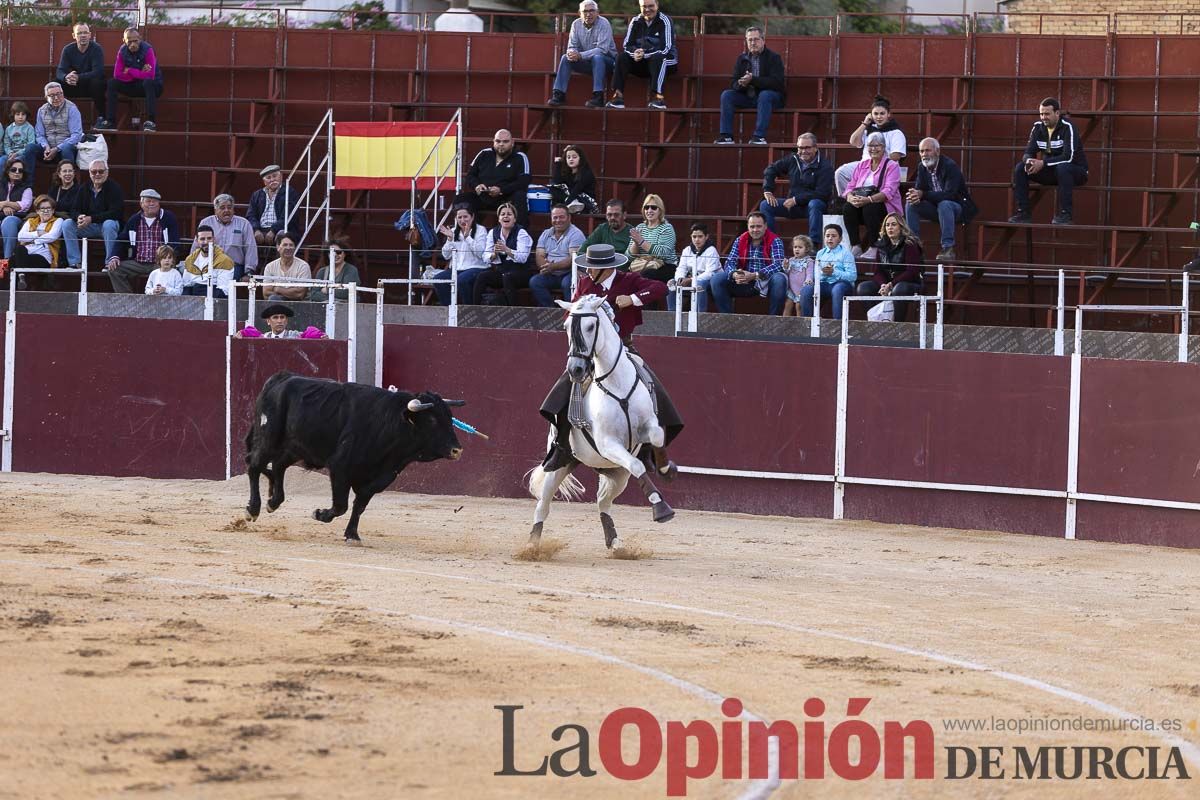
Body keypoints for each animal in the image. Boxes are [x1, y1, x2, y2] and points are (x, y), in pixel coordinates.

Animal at [243, 371, 463, 542]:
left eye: (450, 418)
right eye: (432, 419)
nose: (457, 450)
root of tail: (280, 378)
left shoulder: (382, 477)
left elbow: (359, 505)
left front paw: (352, 535)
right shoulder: (340, 467)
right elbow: (341, 505)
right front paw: (319, 514)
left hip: (294, 447)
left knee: (278, 465)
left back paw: (273, 502)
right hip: (269, 438)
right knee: (254, 465)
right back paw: (253, 509)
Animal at [525, 292, 676, 551]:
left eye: (590, 326)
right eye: (566, 326)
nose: (575, 369)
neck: (616, 384)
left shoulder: (646, 427)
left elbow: (656, 437)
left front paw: (667, 470)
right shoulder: (607, 443)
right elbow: (638, 466)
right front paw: (662, 509)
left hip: (618, 473)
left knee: (603, 502)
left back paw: (614, 542)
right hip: (561, 464)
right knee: (543, 504)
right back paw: (533, 546)